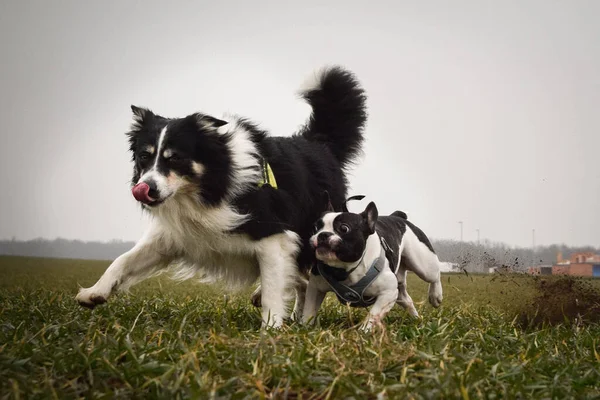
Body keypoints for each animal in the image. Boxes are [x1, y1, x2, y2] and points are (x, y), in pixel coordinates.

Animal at [75, 66, 366, 328]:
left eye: (175, 158)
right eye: (143, 156)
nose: (144, 189)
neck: (210, 184)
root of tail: (319, 143)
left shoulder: (272, 234)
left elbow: (274, 286)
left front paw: (270, 331)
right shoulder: (176, 234)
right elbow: (124, 259)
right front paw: (94, 292)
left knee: (302, 276)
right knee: (301, 281)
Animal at [302, 196, 442, 332]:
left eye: (344, 228)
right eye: (315, 228)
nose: (323, 234)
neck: (345, 269)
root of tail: (398, 216)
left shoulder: (388, 293)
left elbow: (373, 314)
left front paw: (364, 331)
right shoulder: (315, 288)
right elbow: (309, 310)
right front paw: (304, 327)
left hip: (423, 265)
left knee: (435, 275)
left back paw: (435, 296)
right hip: (399, 286)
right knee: (407, 300)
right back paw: (416, 319)